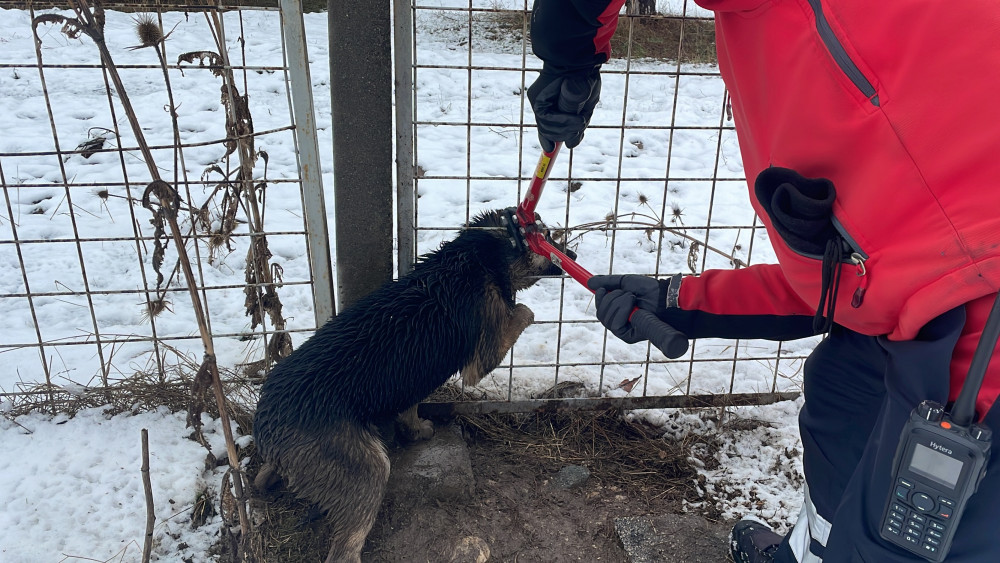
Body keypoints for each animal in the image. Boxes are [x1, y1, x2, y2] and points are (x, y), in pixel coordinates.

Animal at [254, 210, 576, 563]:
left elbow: (409, 406)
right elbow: (521, 312)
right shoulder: (483, 354)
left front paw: (415, 430)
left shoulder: (410, 381)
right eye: (546, 237)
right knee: (345, 549)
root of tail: (268, 429)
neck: (472, 260)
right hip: (367, 470)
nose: (573, 256)